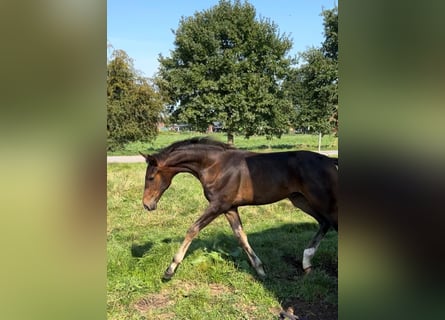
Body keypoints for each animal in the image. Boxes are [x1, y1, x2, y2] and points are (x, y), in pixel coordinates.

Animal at [140, 136, 338, 278]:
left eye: (150, 177)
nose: (147, 204)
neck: (215, 166)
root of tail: (330, 161)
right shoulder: (230, 208)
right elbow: (241, 237)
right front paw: (260, 270)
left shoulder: (218, 205)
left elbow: (192, 229)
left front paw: (170, 269)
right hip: (300, 200)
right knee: (324, 223)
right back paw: (307, 263)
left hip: (321, 200)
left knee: (331, 223)